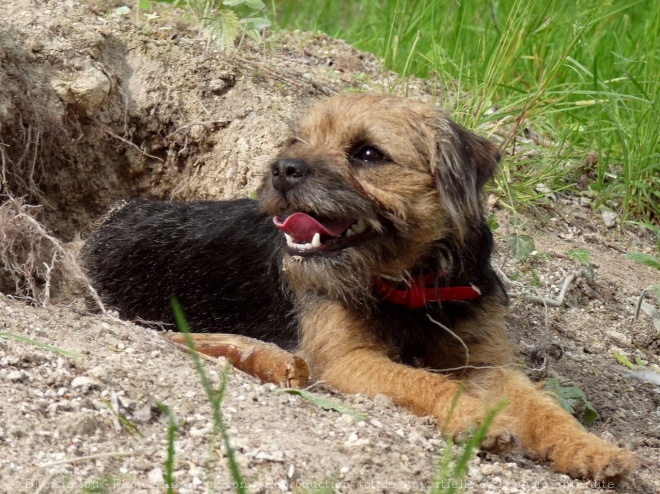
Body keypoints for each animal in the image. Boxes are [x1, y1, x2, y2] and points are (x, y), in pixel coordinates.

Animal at [82, 91, 636, 478]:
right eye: (295, 143)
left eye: (368, 153)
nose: (282, 169)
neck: (414, 283)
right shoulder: (349, 359)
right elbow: (421, 380)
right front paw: (478, 419)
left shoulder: (486, 365)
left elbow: (546, 407)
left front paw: (592, 448)